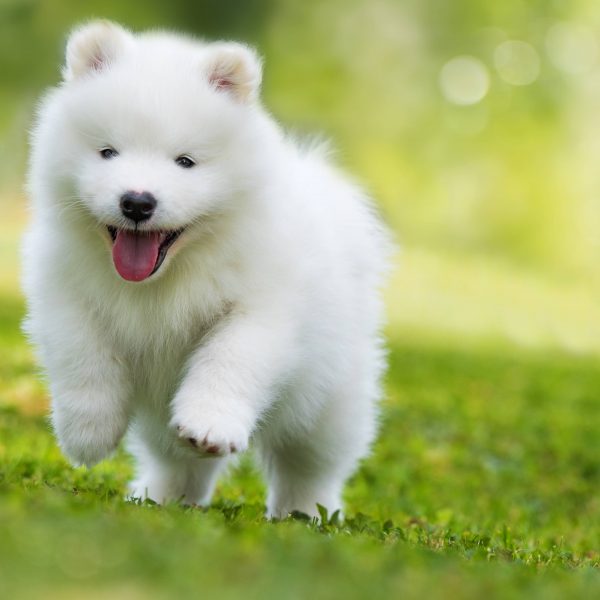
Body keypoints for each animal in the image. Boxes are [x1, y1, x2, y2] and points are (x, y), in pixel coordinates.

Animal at [22, 21, 390, 516]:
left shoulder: (263, 307)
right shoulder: (62, 286)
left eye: (185, 162)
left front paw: (210, 423)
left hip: (331, 397)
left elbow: (230, 357)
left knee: (311, 462)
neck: (166, 278)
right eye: (107, 152)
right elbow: (82, 352)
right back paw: (162, 497)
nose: (137, 201)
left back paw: (306, 513)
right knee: (178, 462)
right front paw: (87, 434)